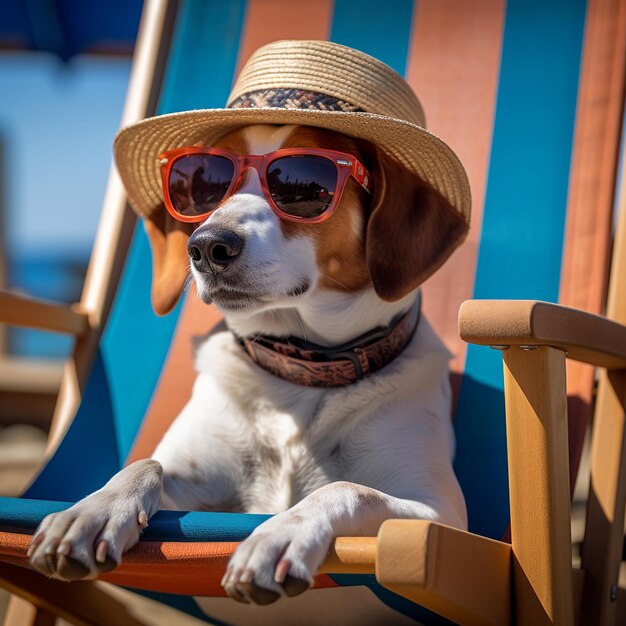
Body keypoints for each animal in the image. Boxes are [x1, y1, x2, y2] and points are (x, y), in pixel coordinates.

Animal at [28, 40, 468, 620]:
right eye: (202, 183)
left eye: (303, 185)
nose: (206, 246)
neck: (300, 375)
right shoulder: (199, 492)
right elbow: (145, 463)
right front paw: (94, 509)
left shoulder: (439, 516)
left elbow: (347, 488)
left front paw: (282, 533)